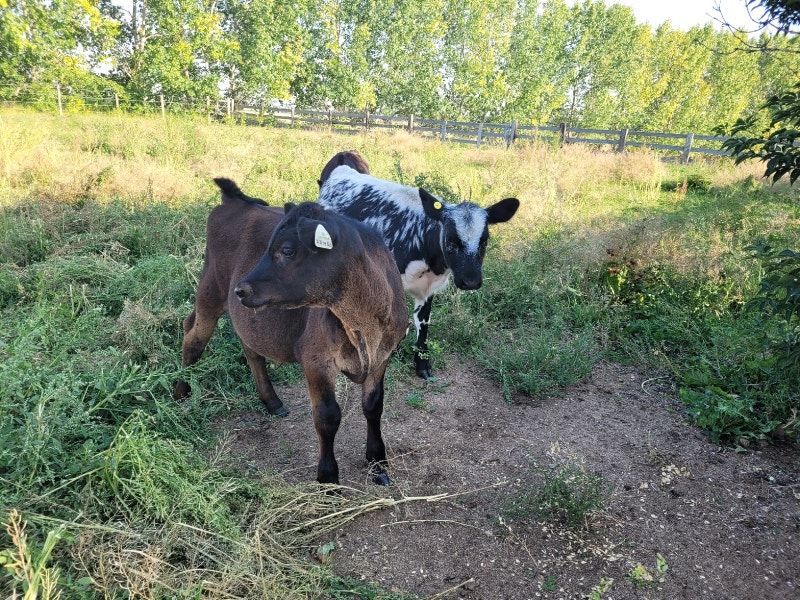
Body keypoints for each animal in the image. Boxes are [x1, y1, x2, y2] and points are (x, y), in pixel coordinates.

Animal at [174, 178, 407, 485]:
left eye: (287, 250)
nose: (242, 289)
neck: (363, 326)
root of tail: (234, 200)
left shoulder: (384, 353)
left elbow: (373, 405)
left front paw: (378, 462)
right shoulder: (315, 359)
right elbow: (327, 417)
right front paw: (328, 477)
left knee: (248, 347)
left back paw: (272, 401)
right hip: (210, 290)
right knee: (193, 337)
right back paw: (179, 392)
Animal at [317, 153, 520, 379]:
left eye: (484, 240)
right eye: (450, 239)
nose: (471, 281)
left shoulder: (428, 289)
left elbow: (423, 323)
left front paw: (422, 362)